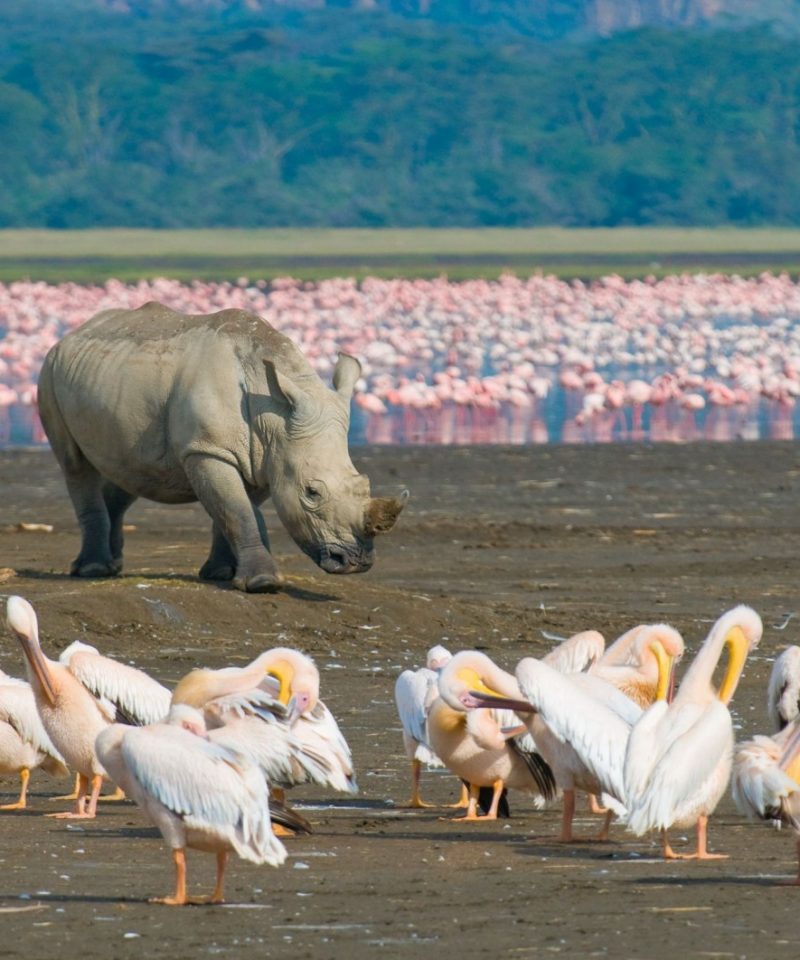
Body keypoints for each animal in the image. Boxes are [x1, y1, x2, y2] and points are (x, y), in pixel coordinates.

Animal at [37, 302, 407, 592]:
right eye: (311, 493)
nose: (356, 562)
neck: (272, 415)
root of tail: (73, 333)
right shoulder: (208, 449)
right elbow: (236, 509)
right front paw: (262, 584)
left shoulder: (265, 456)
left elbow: (235, 509)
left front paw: (221, 574)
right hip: (49, 371)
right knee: (76, 465)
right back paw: (92, 570)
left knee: (130, 471)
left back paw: (112, 567)